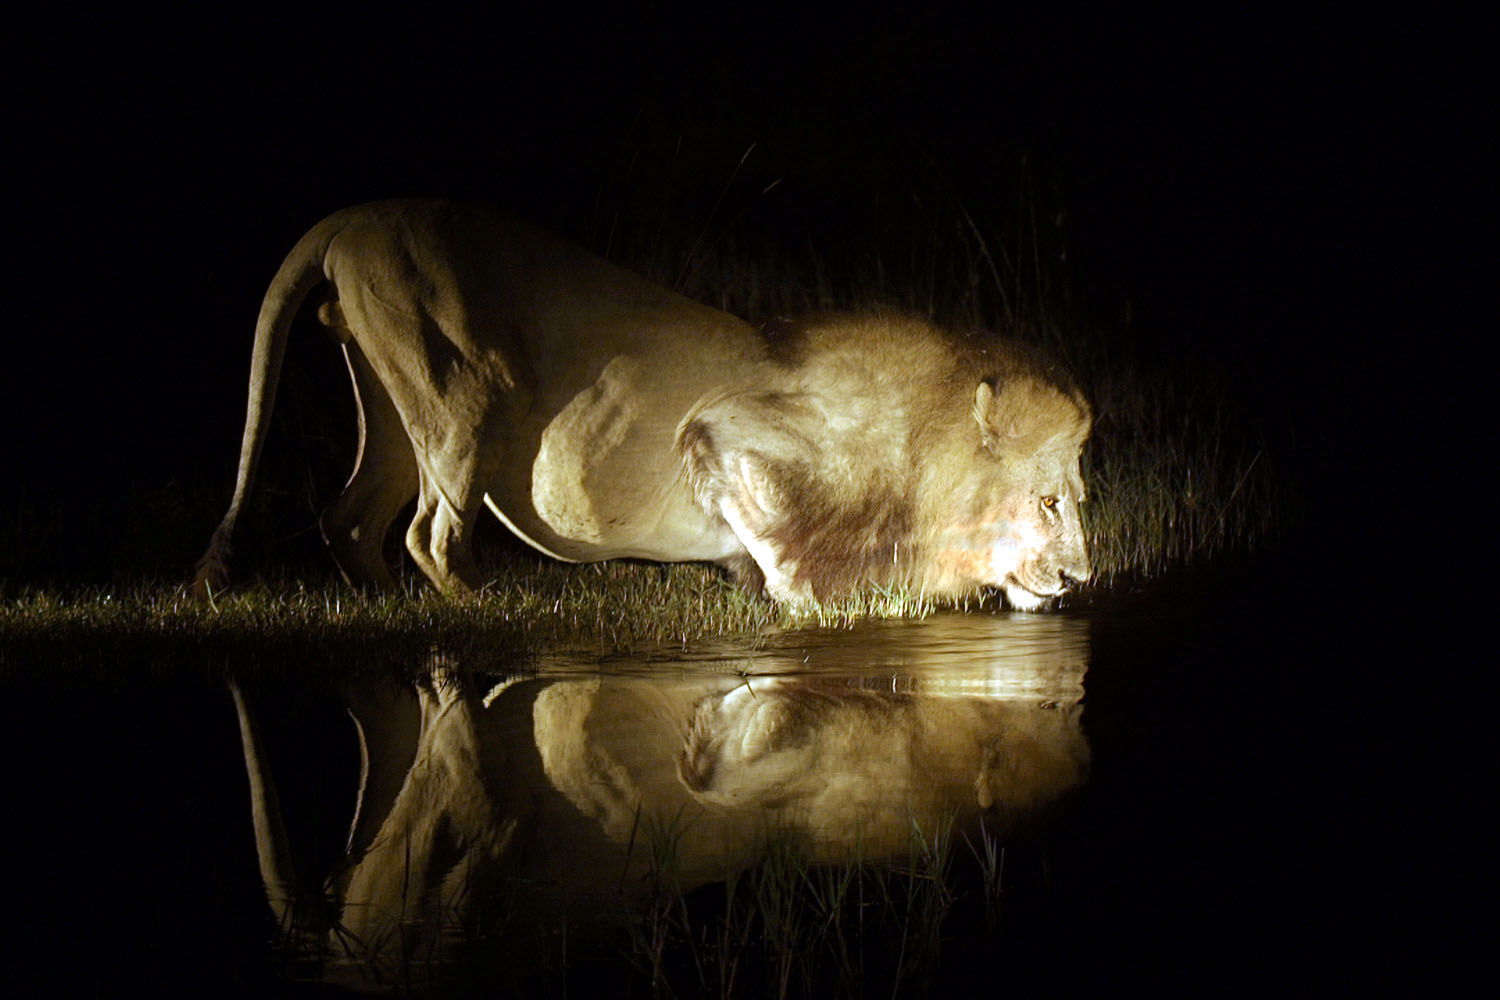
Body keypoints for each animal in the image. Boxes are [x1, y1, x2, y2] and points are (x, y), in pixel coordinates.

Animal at [194, 199, 1091, 607]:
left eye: (1077, 497)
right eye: (1050, 502)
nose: (1084, 576)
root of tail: (355, 218)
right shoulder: (729, 427)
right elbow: (787, 539)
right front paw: (804, 605)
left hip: (391, 405)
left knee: (349, 518)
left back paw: (384, 604)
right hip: (464, 394)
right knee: (433, 534)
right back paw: (492, 610)